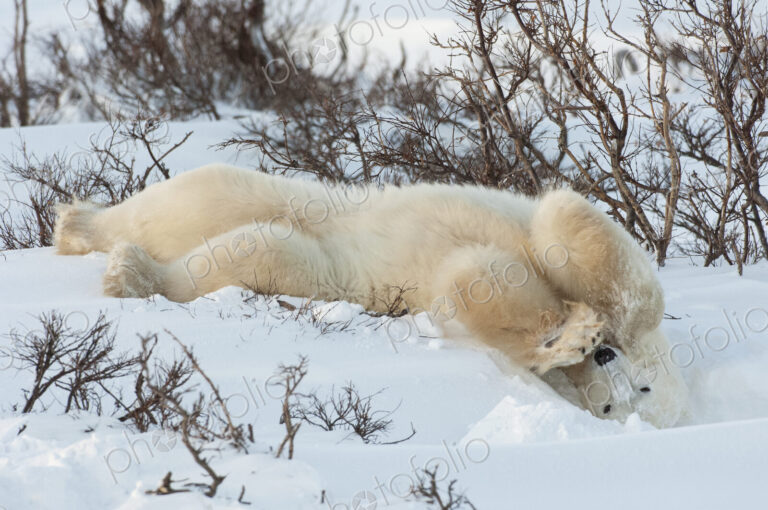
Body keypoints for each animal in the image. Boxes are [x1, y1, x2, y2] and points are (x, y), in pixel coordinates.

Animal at [53, 163, 688, 427]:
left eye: (611, 411)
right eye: (638, 389)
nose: (602, 356)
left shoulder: (445, 289)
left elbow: (471, 281)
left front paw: (564, 337)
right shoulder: (539, 231)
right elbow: (577, 231)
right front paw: (587, 325)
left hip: (320, 264)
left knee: (254, 254)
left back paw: (128, 271)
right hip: (293, 198)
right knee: (195, 198)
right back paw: (84, 227)